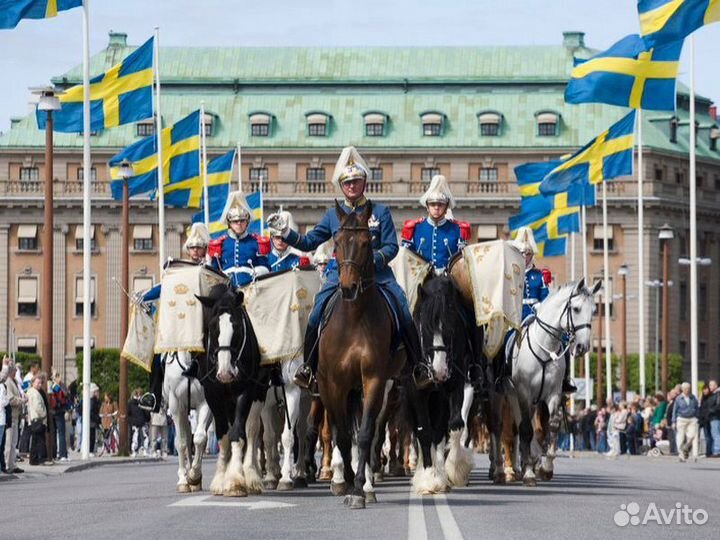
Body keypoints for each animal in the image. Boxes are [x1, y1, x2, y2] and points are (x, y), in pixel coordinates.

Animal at [160, 350, 211, 494]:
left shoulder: (205, 403)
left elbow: (200, 438)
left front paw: (194, 476)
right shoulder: (177, 406)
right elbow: (181, 442)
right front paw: (183, 480)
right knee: (187, 438)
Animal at [194, 284, 270, 496]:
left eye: (236, 327)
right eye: (213, 327)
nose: (226, 372)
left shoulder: (246, 391)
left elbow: (238, 433)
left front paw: (236, 479)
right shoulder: (213, 395)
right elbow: (223, 436)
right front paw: (221, 479)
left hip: (259, 392)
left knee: (251, 431)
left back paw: (251, 475)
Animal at [262, 356, 312, 492]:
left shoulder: (292, 394)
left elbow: (287, 437)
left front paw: (285, 479)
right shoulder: (265, 404)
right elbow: (268, 438)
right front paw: (270, 477)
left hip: (305, 401)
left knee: (301, 431)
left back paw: (299, 473)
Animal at [320, 200, 404, 508]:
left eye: (367, 243)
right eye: (336, 242)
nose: (348, 288)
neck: (354, 318)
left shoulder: (374, 380)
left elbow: (366, 434)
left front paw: (359, 489)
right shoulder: (334, 384)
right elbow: (344, 436)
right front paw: (344, 482)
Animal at [504, 280, 600, 488]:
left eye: (594, 310)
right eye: (576, 308)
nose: (583, 347)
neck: (544, 348)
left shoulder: (553, 394)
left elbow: (552, 427)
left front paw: (546, 468)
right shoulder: (524, 393)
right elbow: (526, 430)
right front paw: (529, 473)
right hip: (512, 396)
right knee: (519, 427)